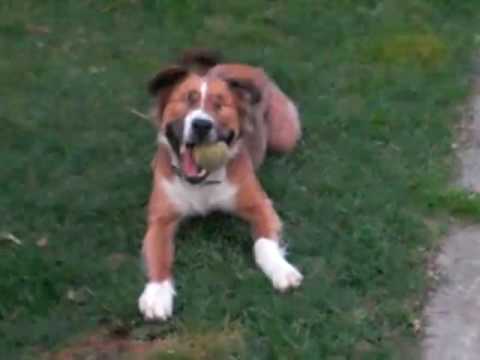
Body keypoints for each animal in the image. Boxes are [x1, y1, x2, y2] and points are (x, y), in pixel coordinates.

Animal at [139, 49, 304, 320]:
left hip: (285, 137)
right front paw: (157, 293)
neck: (202, 184)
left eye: (220, 105)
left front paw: (281, 269)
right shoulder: (160, 220)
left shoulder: (260, 206)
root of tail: (245, 67)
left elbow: (263, 243)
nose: (202, 125)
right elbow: (159, 254)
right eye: (188, 100)